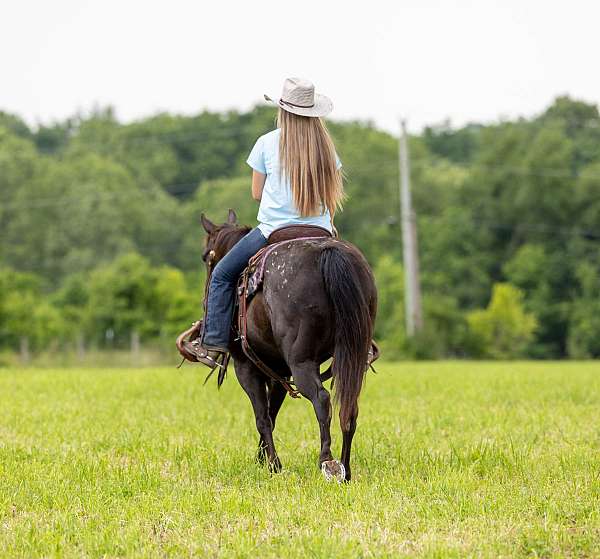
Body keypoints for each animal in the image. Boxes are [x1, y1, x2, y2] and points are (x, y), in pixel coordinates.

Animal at [199, 210, 376, 482]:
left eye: (207, 258)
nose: (205, 300)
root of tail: (327, 252)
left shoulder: (246, 368)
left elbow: (262, 417)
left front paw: (273, 465)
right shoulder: (279, 371)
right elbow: (272, 414)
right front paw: (262, 459)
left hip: (301, 361)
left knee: (321, 399)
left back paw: (327, 461)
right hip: (350, 358)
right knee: (349, 405)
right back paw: (345, 469)